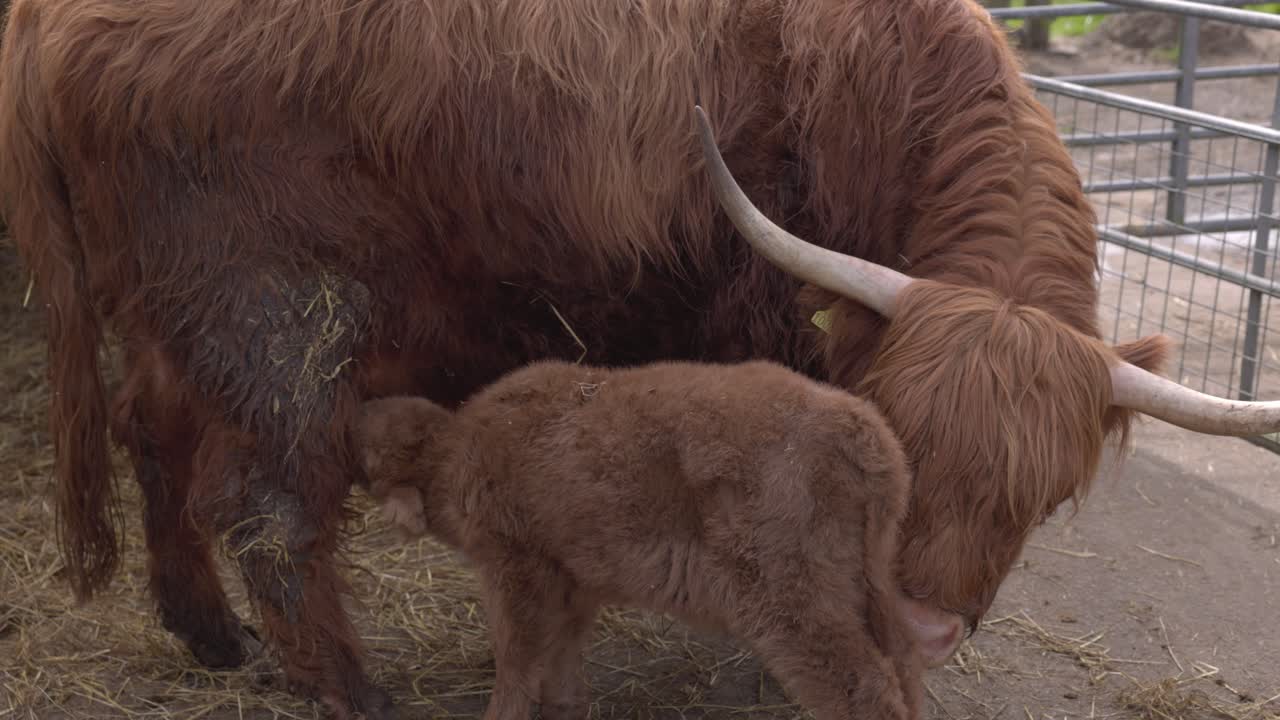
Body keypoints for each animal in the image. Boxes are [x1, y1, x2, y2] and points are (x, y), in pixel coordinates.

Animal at [357, 358, 927, 720]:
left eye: (368, 457)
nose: (353, 412)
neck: (454, 454)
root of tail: (865, 433)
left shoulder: (516, 569)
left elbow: (516, 662)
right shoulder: (574, 580)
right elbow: (562, 668)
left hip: (793, 601)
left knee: (864, 691)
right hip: (866, 587)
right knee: (903, 668)